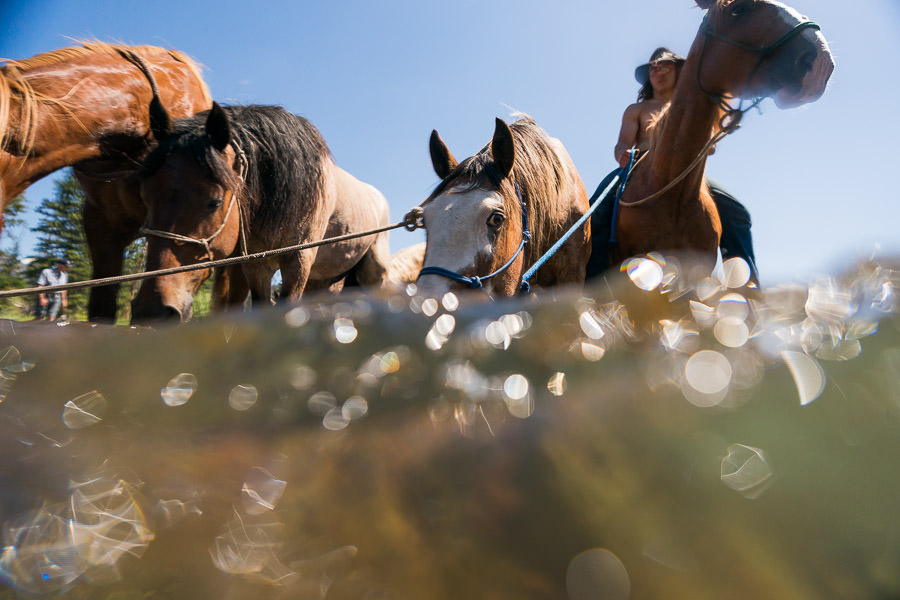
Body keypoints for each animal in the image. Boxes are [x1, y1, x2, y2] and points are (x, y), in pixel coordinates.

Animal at [130, 102, 391, 323]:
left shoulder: (298, 261)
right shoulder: (257, 266)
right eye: (144, 196)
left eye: (214, 202)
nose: (152, 310)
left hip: (373, 275)